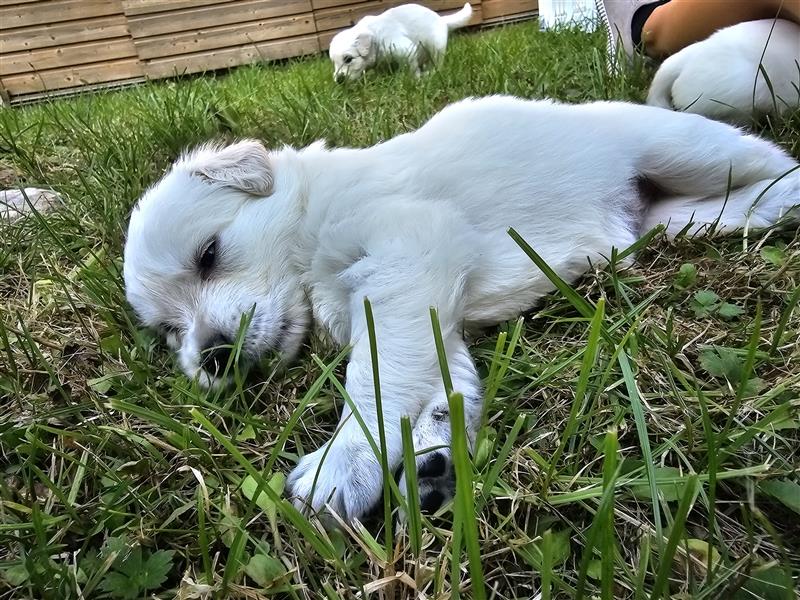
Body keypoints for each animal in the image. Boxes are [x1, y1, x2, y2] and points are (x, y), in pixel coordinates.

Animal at [125, 95, 800, 524]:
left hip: (688, 147)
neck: (311, 217)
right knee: (735, 206)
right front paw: (432, 458)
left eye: (209, 254)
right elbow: (441, 381)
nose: (213, 357)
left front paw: (342, 462)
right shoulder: (425, 307)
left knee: (776, 165)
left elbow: (376, 378)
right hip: (682, 215)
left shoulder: (406, 254)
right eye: (170, 333)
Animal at [326, 1, 472, 81]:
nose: (339, 80)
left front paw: (415, 79)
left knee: (437, 63)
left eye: (348, 59)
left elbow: (412, 69)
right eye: (334, 62)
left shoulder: (405, 49)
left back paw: (431, 72)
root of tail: (442, 19)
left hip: (436, 45)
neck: (375, 36)